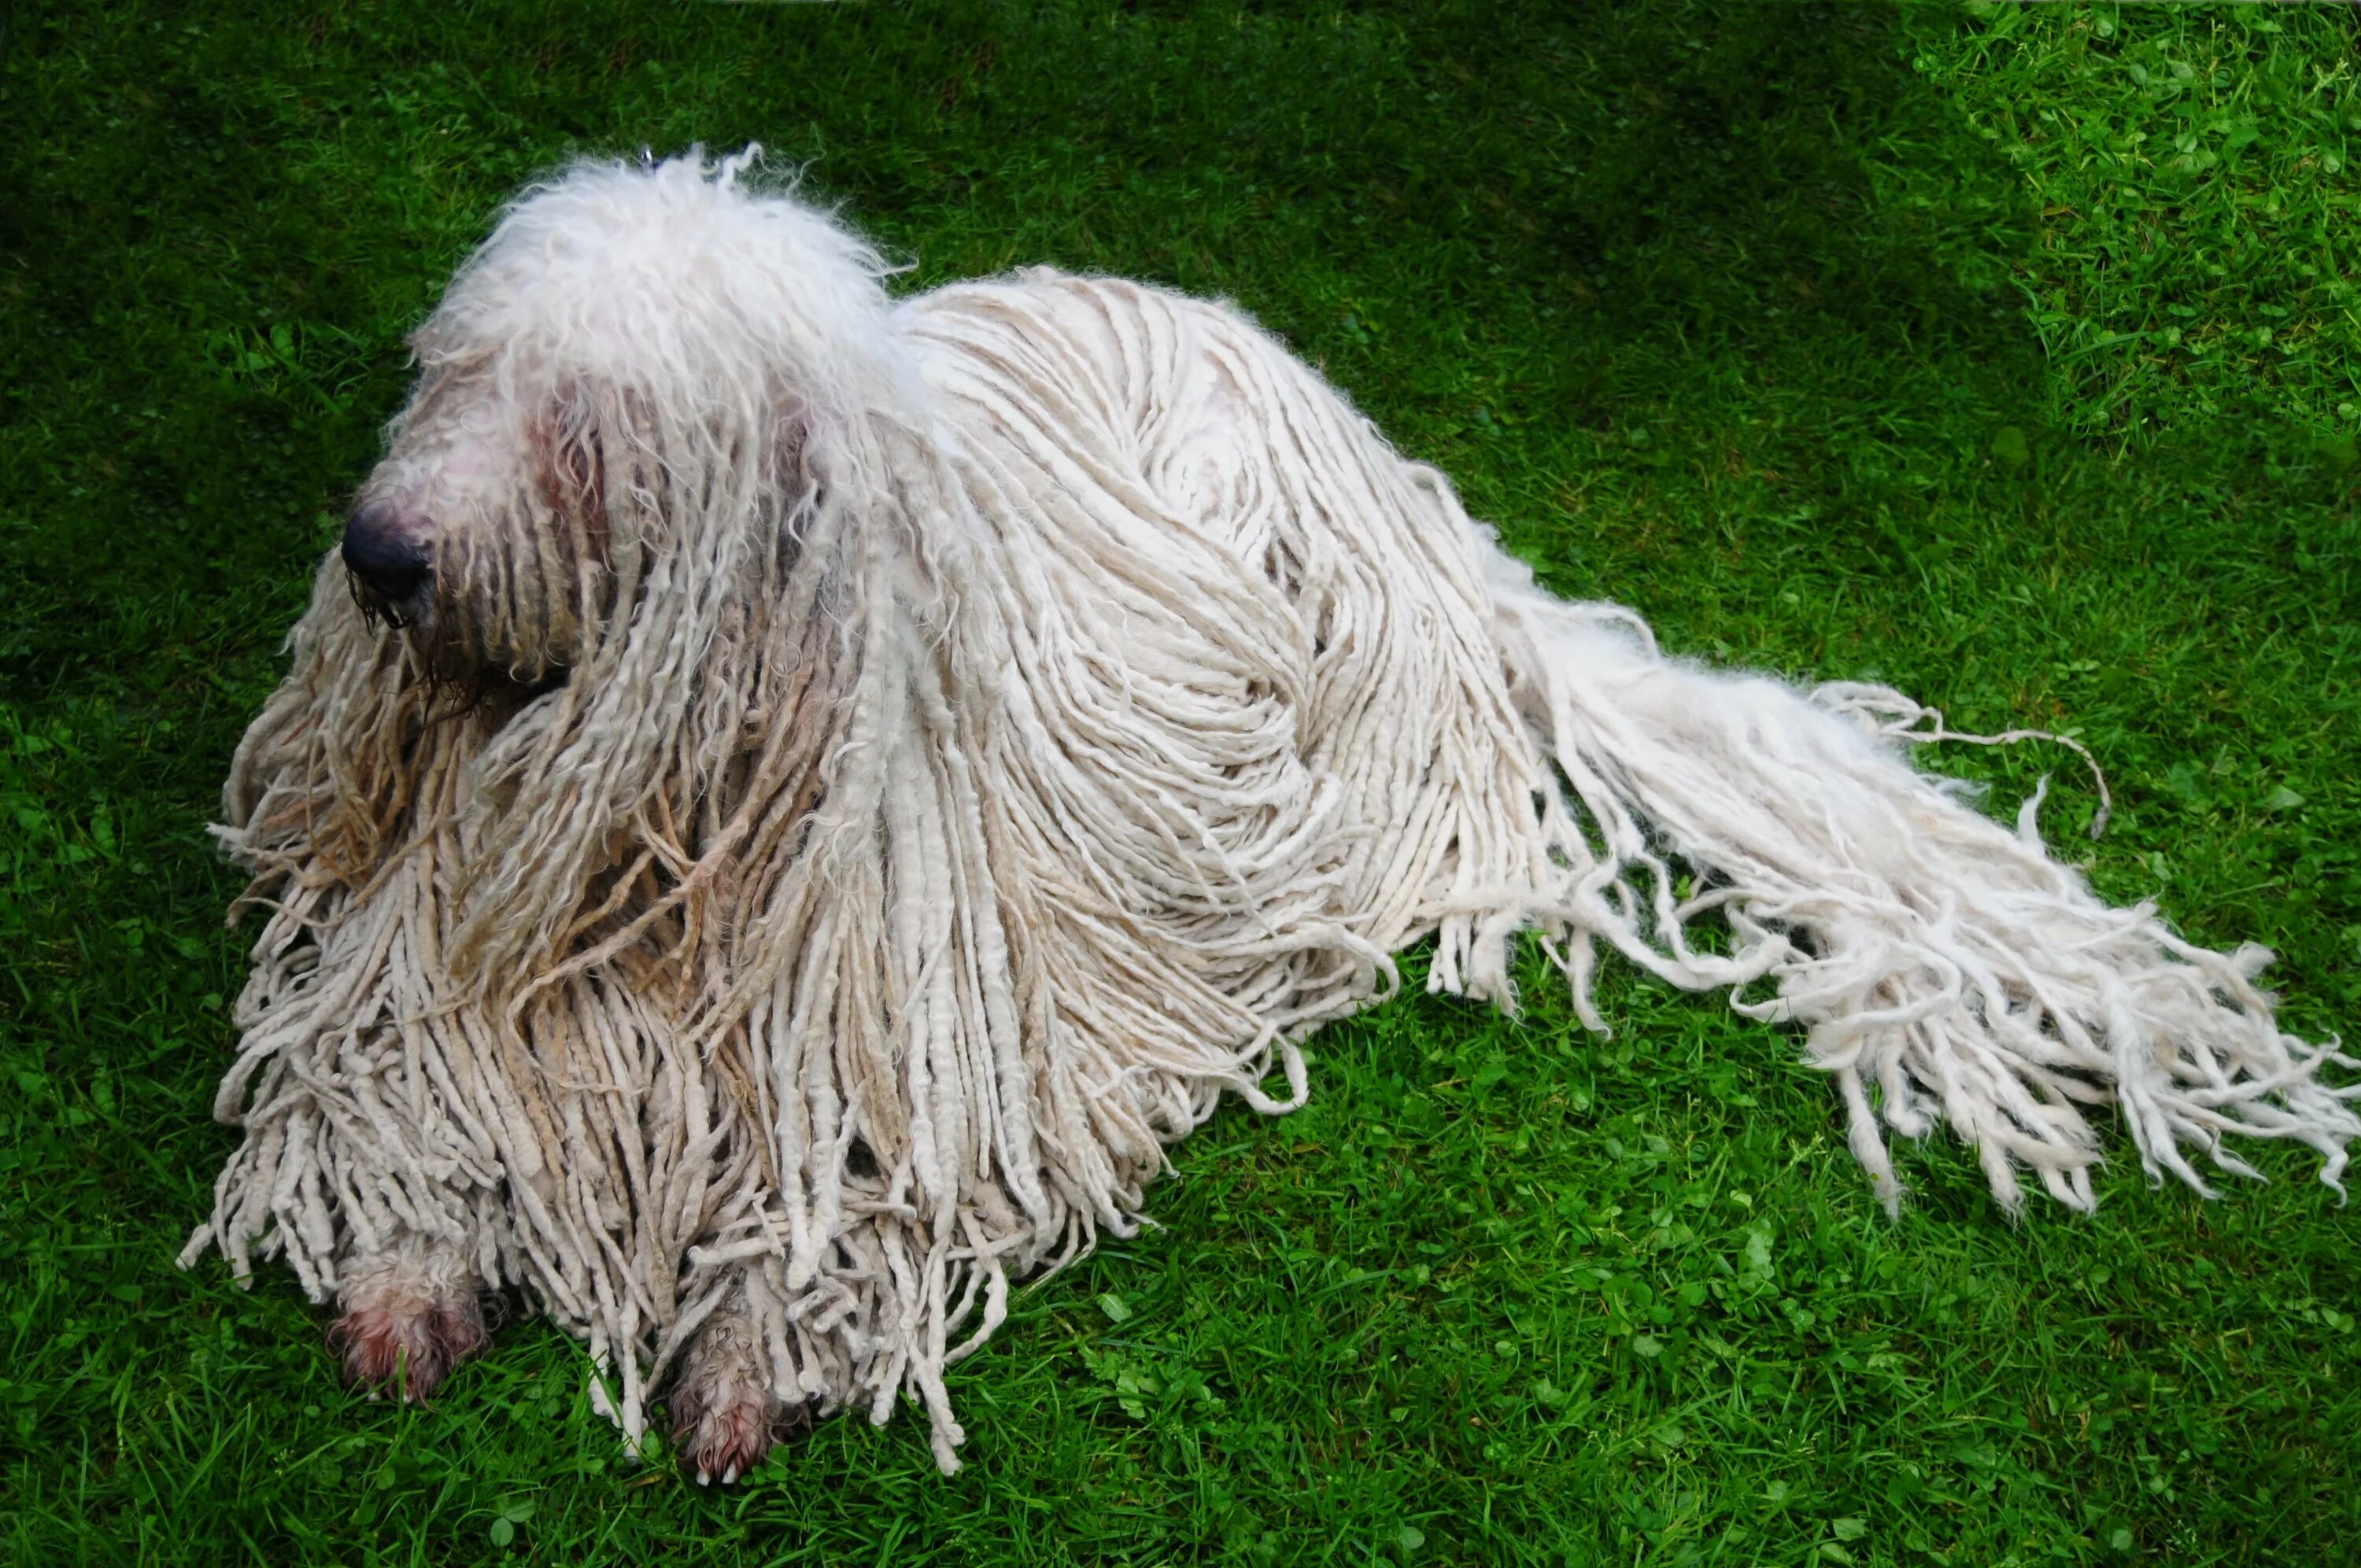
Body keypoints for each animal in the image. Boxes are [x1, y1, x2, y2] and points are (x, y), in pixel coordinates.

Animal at [179, 153, 2342, 1492]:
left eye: (589, 432)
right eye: (458, 371)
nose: (381, 552)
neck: (666, 822)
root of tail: (1412, 502)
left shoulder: (947, 1044)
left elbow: (878, 1190)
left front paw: (753, 1350)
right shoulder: (437, 934)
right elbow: (399, 1070)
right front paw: (409, 1262)